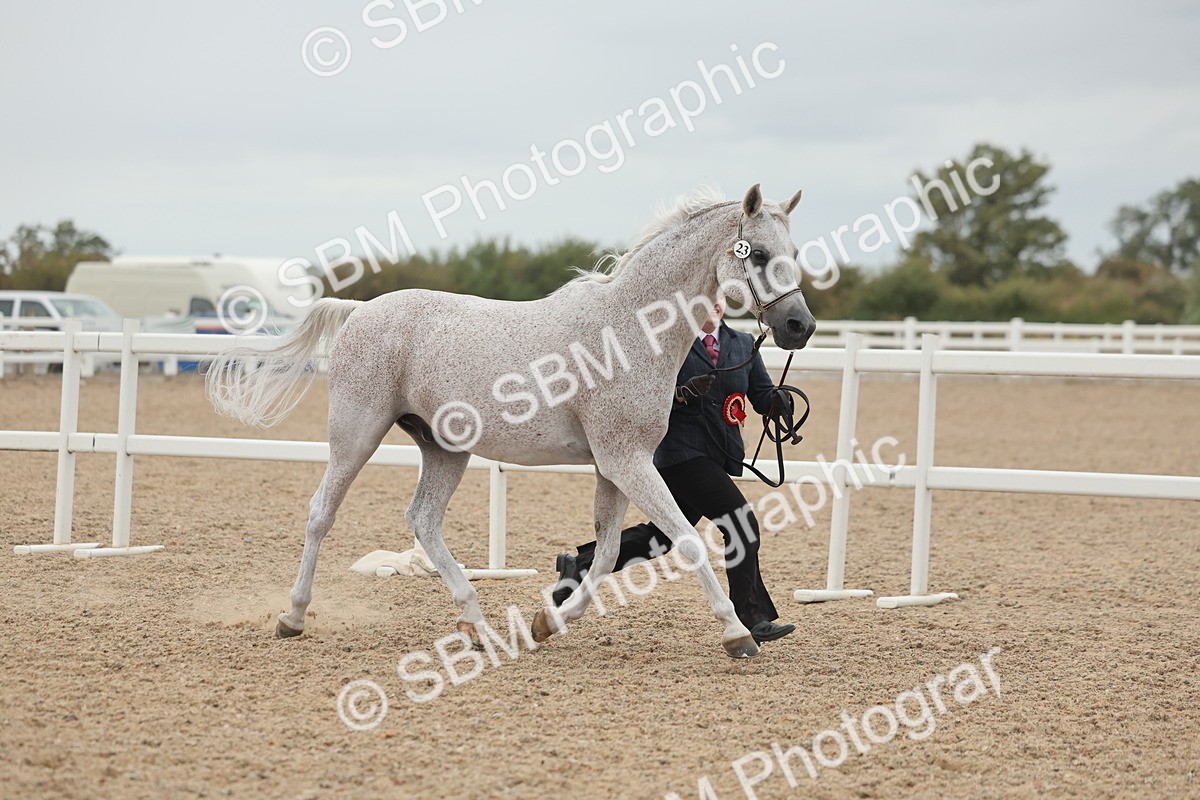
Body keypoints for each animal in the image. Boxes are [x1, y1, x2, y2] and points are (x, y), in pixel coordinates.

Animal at [206, 184, 815, 659]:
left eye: (793, 251)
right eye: (758, 253)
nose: (799, 326)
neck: (629, 331)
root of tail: (361, 310)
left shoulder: (616, 465)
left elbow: (608, 552)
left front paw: (549, 622)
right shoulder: (627, 461)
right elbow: (687, 541)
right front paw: (738, 633)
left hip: (445, 448)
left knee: (423, 520)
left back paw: (477, 625)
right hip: (356, 434)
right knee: (321, 514)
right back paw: (293, 617)